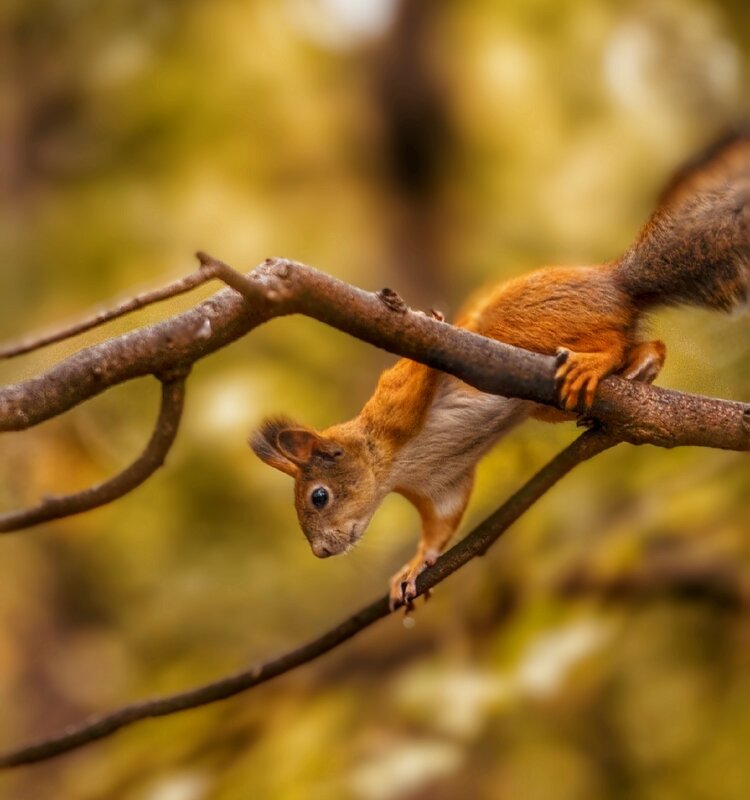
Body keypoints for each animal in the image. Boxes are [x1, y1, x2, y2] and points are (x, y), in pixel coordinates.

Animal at [251, 131, 750, 608]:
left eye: (319, 496)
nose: (321, 552)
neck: (392, 467)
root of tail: (616, 282)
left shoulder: (395, 400)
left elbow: (419, 361)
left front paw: (432, 318)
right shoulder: (442, 486)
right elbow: (439, 528)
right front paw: (413, 567)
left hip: (528, 324)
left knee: (607, 341)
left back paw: (597, 362)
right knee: (647, 343)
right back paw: (638, 370)